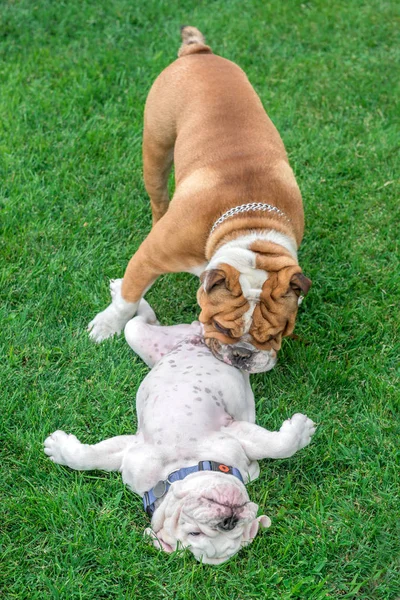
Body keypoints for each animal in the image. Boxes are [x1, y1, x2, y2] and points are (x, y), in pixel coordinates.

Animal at [44, 280, 316, 564]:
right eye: (195, 534)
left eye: (237, 530)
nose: (228, 521)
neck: (179, 467)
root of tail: (197, 333)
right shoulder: (132, 450)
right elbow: (91, 457)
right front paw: (59, 449)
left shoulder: (233, 433)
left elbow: (279, 446)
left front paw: (301, 430)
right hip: (145, 338)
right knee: (139, 321)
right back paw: (122, 292)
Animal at [89, 29, 310, 376]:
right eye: (220, 327)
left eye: (276, 335)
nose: (243, 355)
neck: (249, 228)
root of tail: (199, 52)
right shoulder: (149, 258)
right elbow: (127, 299)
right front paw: (106, 325)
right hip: (156, 149)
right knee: (158, 197)